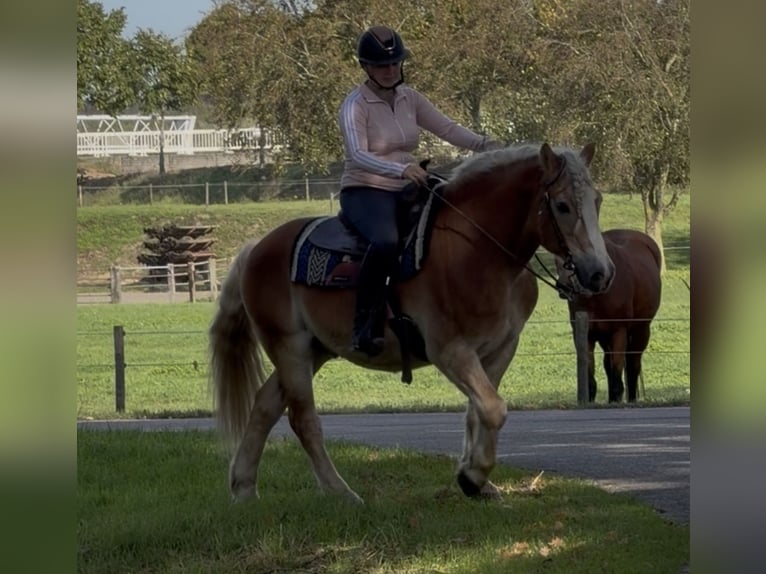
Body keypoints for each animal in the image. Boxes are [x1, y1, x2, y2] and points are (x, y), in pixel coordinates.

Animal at [209, 142, 615, 504]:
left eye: (597, 201)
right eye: (562, 205)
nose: (600, 273)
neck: (477, 251)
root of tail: (256, 249)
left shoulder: (500, 349)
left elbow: (479, 412)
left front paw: (477, 481)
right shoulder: (449, 350)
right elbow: (493, 409)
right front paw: (472, 476)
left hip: (313, 350)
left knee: (265, 406)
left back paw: (244, 487)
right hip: (289, 347)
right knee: (303, 419)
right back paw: (340, 492)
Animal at [556, 228, 662, 403]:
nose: (564, 286)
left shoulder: (618, 331)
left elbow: (618, 370)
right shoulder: (585, 334)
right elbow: (590, 373)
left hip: (641, 330)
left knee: (633, 364)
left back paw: (631, 398)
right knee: (609, 364)